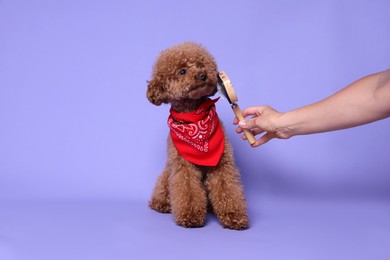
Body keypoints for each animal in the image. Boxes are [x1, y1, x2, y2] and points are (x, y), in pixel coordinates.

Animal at [145, 41, 248, 230]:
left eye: (201, 64)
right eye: (182, 71)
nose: (202, 75)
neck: (194, 116)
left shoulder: (222, 163)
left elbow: (227, 189)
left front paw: (234, 215)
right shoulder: (183, 166)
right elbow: (188, 190)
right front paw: (191, 215)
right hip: (167, 173)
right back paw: (161, 204)